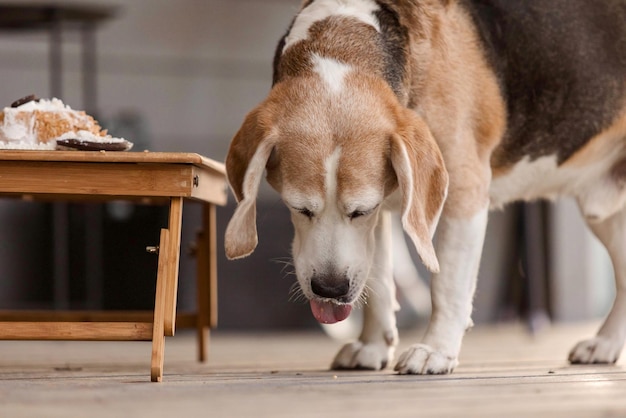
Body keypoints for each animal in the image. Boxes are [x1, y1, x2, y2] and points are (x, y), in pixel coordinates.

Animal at [223, 0, 624, 374]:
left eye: (360, 210)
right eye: (299, 208)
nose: (330, 290)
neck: (343, 39)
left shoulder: (461, 194)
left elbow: (447, 286)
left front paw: (436, 351)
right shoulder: (381, 214)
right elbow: (378, 280)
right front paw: (372, 347)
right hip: (606, 216)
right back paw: (605, 344)